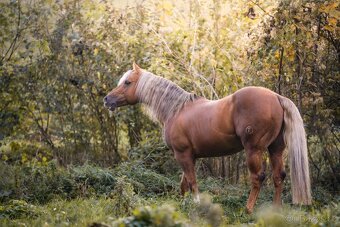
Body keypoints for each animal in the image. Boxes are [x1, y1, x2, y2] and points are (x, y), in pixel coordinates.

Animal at [103, 62, 310, 213]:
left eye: (127, 82)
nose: (107, 99)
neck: (176, 110)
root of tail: (276, 97)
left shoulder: (182, 155)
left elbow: (192, 182)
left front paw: (196, 205)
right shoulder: (189, 156)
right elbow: (184, 184)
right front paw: (183, 206)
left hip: (254, 150)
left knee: (258, 178)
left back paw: (248, 209)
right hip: (275, 149)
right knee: (278, 176)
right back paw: (275, 210)